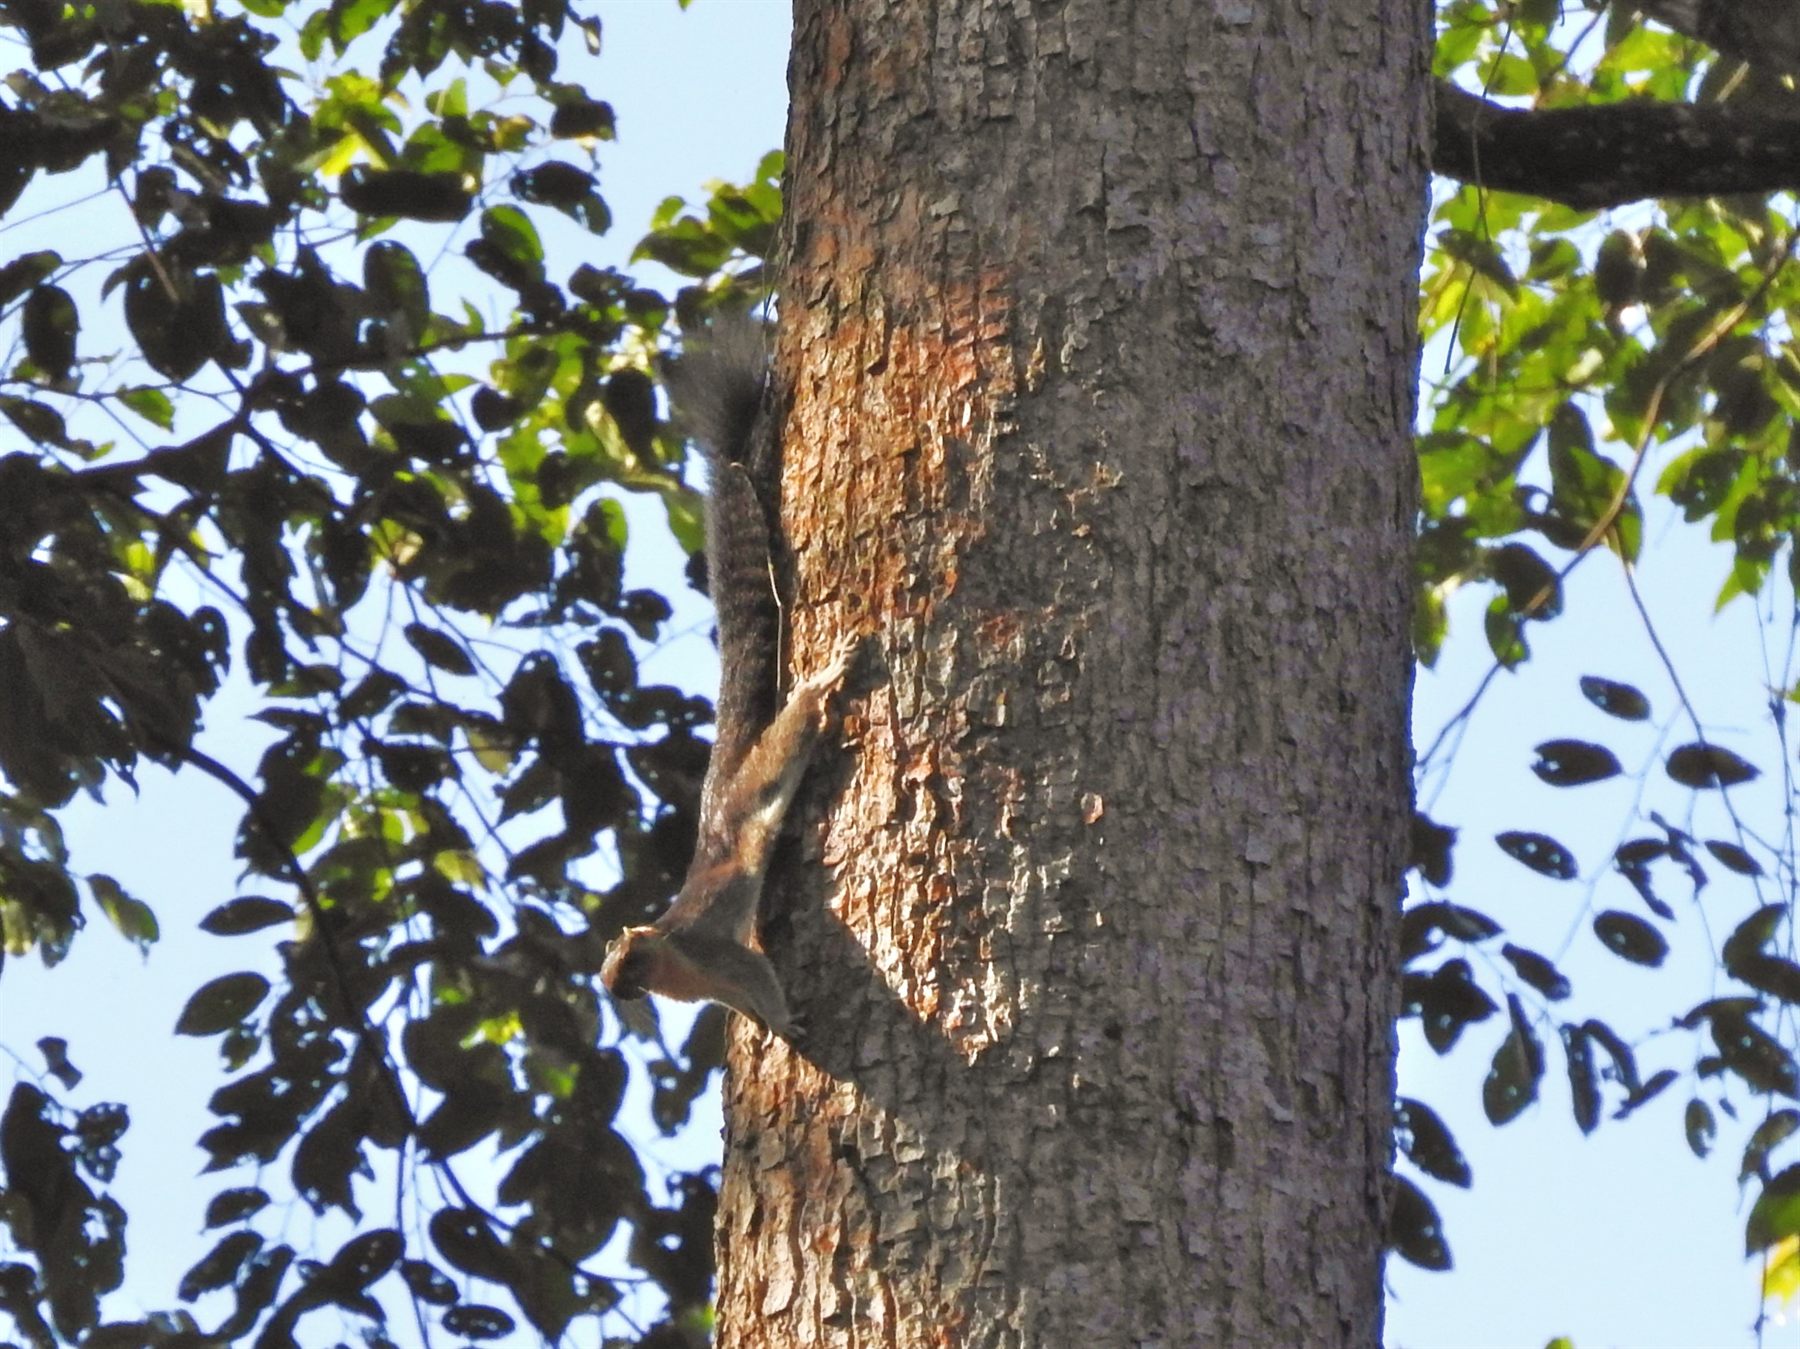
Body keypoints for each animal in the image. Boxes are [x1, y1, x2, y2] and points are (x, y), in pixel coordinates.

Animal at [599, 321, 857, 1040]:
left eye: (633, 958)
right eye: (610, 975)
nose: (625, 990)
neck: (679, 971)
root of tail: (717, 794)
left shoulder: (715, 954)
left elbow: (756, 974)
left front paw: (790, 1025)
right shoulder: (716, 984)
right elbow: (744, 1000)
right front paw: (771, 1027)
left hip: (754, 787)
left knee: (787, 739)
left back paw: (821, 683)